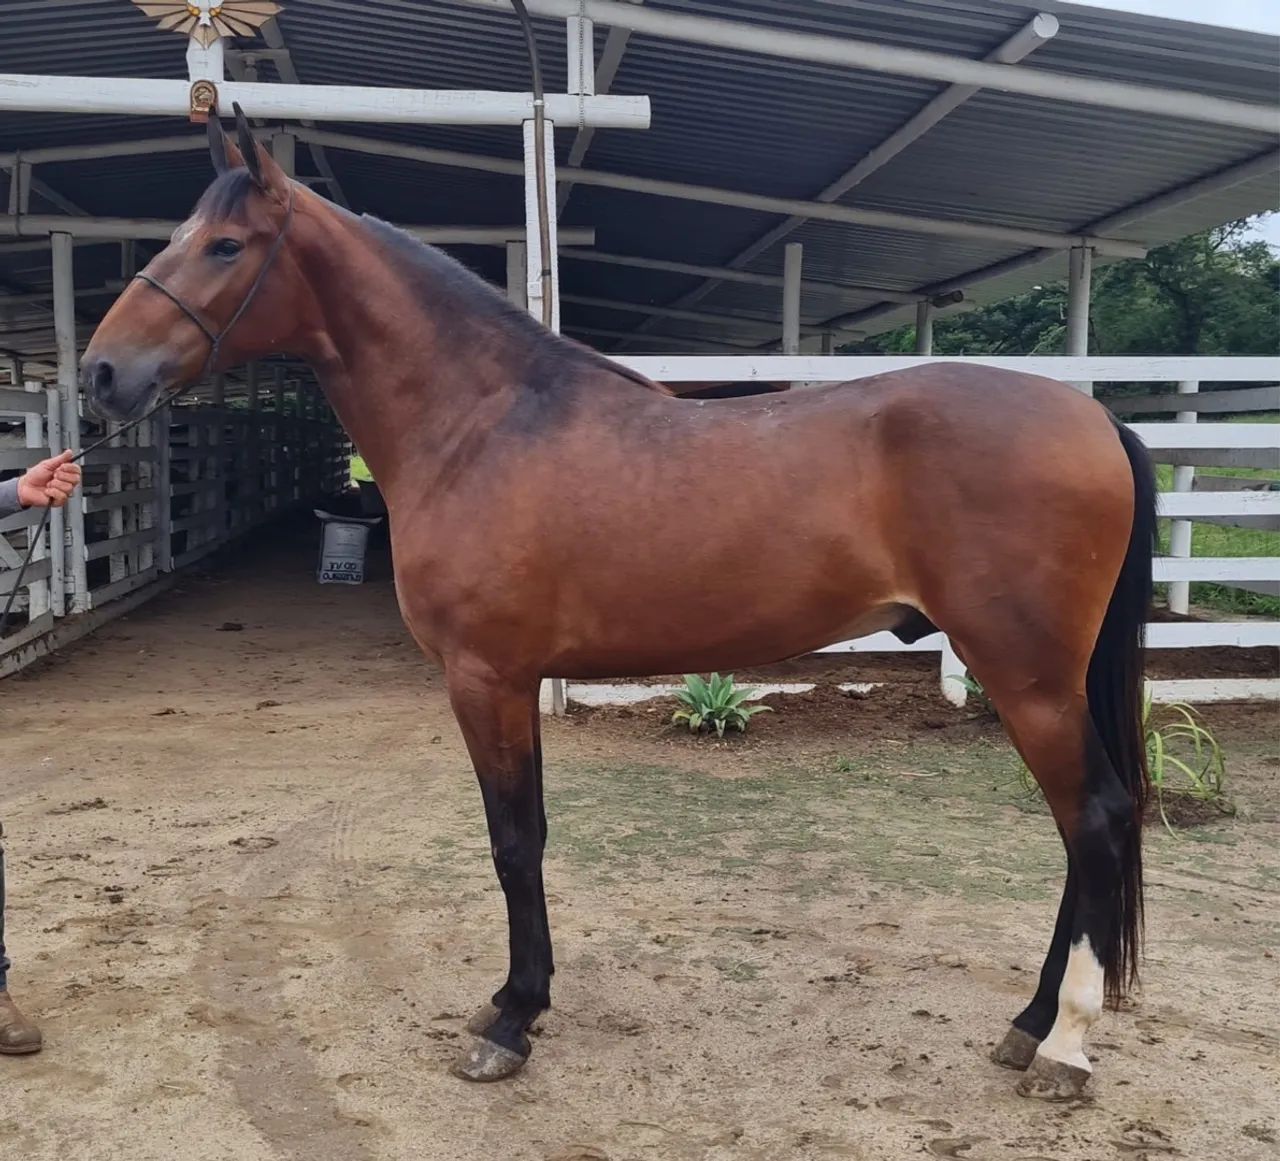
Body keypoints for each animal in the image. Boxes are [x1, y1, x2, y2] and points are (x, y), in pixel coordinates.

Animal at [80, 111, 1156, 1099]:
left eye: (225, 245)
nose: (100, 372)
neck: (480, 424)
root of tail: (1093, 415)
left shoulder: (485, 677)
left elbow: (512, 843)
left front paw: (509, 1023)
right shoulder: (517, 680)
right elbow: (533, 833)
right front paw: (520, 999)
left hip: (1026, 677)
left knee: (1094, 820)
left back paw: (1062, 1045)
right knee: (1082, 831)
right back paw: (1027, 1023)